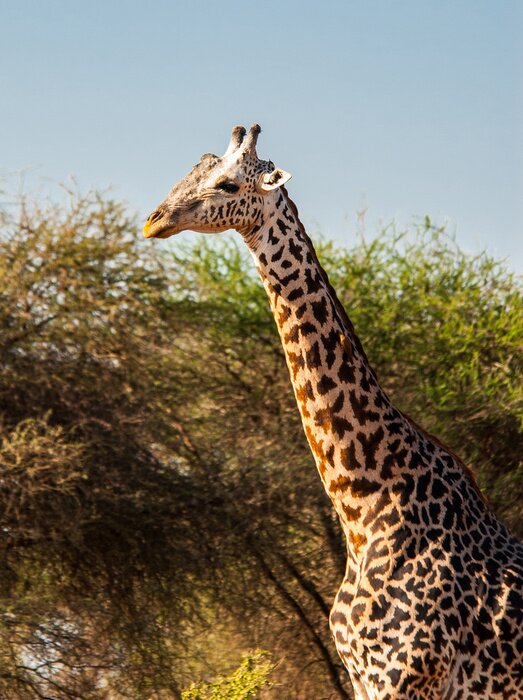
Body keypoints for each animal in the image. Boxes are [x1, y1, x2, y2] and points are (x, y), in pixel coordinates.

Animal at [144, 124, 523, 700]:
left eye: (228, 184)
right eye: (193, 168)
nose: (154, 219)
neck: (364, 506)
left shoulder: (409, 677)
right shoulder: (364, 679)